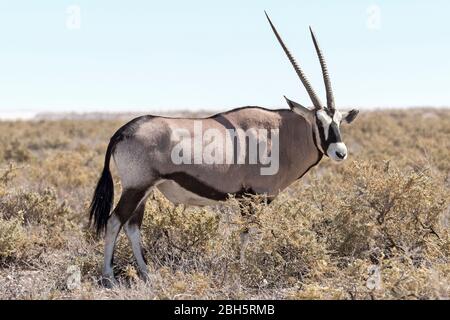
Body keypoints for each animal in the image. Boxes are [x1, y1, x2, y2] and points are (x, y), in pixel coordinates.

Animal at [90, 11, 358, 284]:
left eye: (338, 121)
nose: (340, 151)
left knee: (132, 225)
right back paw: (109, 277)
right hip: (136, 186)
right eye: (318, 122)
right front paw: (245, 268)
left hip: (144, 189)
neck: (280, 132)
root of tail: (123, 131)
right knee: (115, 221)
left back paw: (147, 274)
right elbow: (247, 234)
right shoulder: (253, 197)